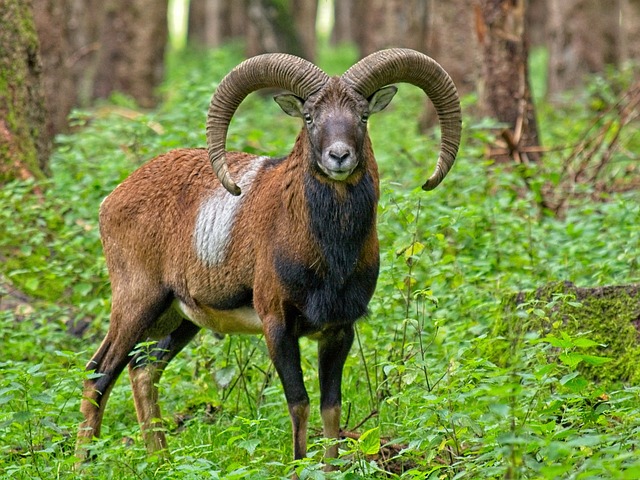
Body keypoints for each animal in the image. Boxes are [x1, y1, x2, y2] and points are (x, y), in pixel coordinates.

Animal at [77, 48, 460, 464]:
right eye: (310, 117)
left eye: (362, 115)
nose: (339, 157)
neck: (330, 256)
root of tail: (112, 199)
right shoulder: (277, 326)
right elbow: (299, 404)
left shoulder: (339, 331)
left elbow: (330, 408)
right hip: (138, 304)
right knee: (99, 374)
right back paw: (83, 462)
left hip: (179, 321)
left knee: (143, 371)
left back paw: (161, 461)